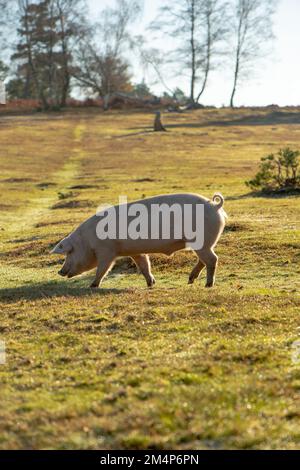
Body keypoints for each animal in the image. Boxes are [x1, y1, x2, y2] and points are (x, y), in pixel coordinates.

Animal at [51, 193, 226, 288]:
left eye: (69, 252)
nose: (60, 271)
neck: (86, 241)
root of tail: (215, 206)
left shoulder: (106, 251)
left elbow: (103, 269)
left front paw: (93, 285)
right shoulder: (135, 252)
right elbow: (144, 266)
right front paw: (151, 284)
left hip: (202, 241)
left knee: (212, 259)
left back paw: (208, 285)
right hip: (203, 243)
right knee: (204, 260)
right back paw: (190, 281)